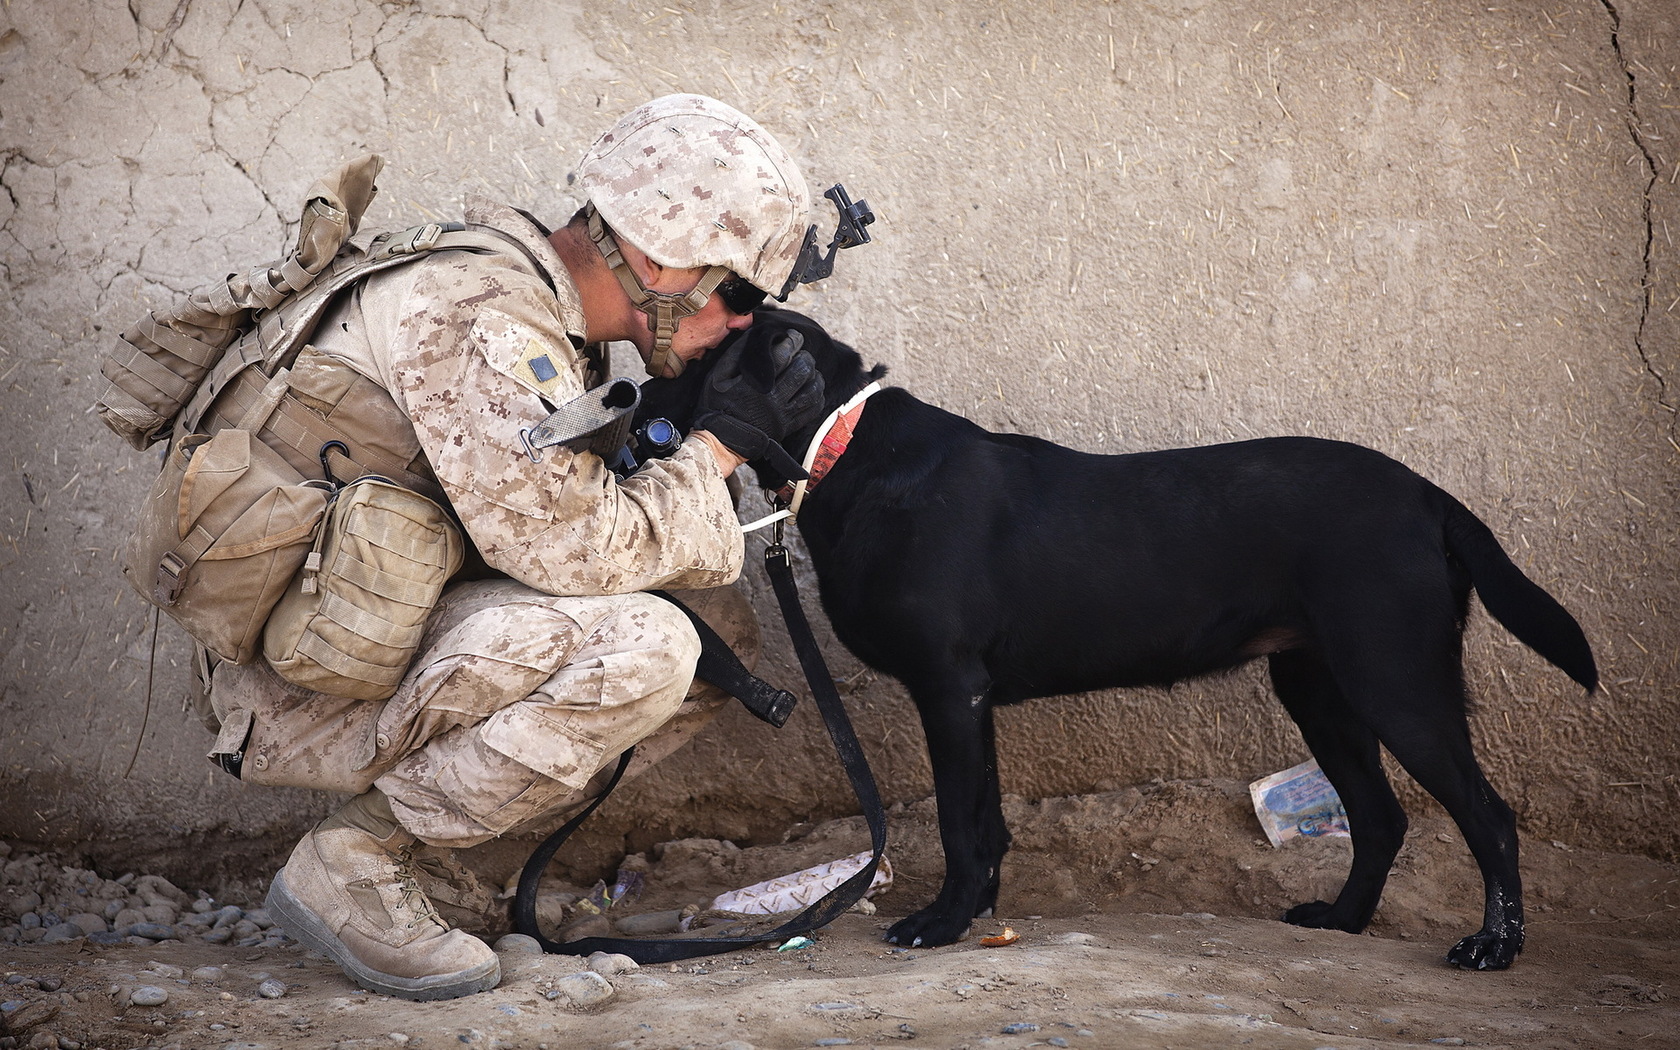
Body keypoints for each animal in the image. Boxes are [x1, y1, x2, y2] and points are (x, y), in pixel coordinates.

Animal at [635, 307, 1592, 967]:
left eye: (695, 362)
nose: (625, 392)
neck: (846, 448)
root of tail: (1428, 494)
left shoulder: (949, 688)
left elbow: (957, 820)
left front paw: (942, 923)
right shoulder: (970, 699)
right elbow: (985, 820)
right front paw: (977, 913)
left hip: (1395, 678)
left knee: (1486, 816)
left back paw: (1493, 947)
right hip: (1318, 685)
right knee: (1383, 817)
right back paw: (1344, 921)